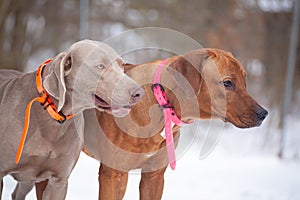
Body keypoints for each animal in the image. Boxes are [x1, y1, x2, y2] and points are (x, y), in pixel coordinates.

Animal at [37, 48, 268, 198]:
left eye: (245, 81)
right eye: (227, 83)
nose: (263, 113)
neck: (160, 102)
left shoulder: (154, 176)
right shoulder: (113, 175)